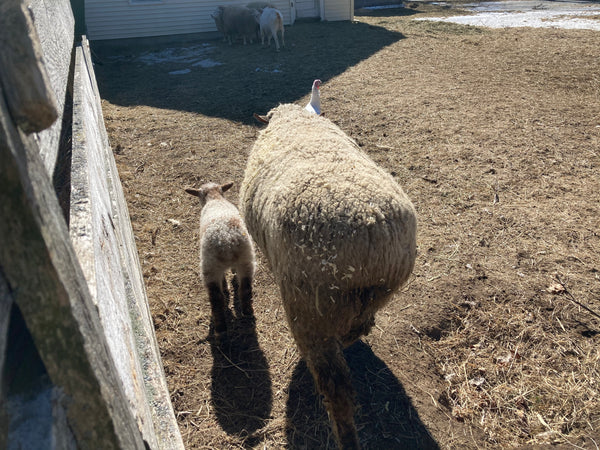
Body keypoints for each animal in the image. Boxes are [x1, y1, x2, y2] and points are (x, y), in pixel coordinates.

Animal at [185, 181, 255, 336]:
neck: (215, 199)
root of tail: (226, 238)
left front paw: (225, 286)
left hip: (210, 267)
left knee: (216, 299)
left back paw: (220, 328)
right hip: (246, 259)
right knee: (245, 288)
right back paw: (247, 312)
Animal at [239, 103, 418, 448]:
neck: (294, 119)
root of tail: (370, 228)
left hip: (309, 309)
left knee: (335, 385)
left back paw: (344, 433)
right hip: (379, 293)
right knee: (360, 325)